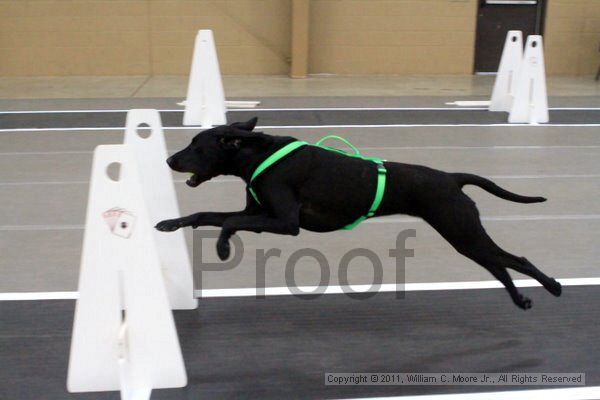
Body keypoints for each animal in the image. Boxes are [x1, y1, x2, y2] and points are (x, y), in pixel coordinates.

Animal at [157, 117, 560, 308]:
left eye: (196, 146)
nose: (169, 160)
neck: (254, 153)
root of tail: (451, 178)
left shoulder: (285, 223)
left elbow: (230, 223)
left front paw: (223, 247)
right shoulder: (259, 215)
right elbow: (207, 215)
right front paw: (170, 222)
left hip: (462, 232)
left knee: (511, 260)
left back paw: (547, 288)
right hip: (464, 234)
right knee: (501, 263)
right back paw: (529, 296)